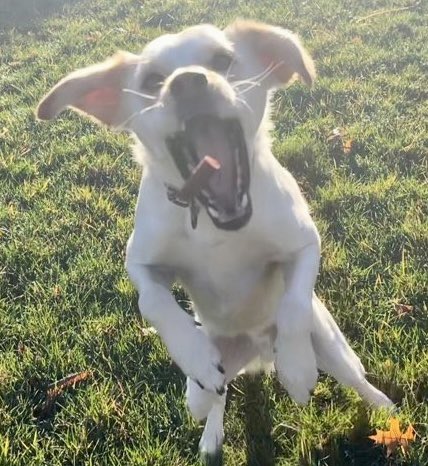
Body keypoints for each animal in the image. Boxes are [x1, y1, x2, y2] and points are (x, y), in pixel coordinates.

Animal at [38, 20, 392, 462]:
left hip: (332, 345)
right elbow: (154, 303)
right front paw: (192, 354)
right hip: (212, 375)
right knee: (213, 396)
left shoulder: (305, 243)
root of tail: (258, 354)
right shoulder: (139, 261)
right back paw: (210, 427)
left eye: (223, 60)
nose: (187, 81)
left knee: (354, 377)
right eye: (152, 81)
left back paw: (386, 408)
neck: (216, 224)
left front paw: (296, 367)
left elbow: (293, 304)